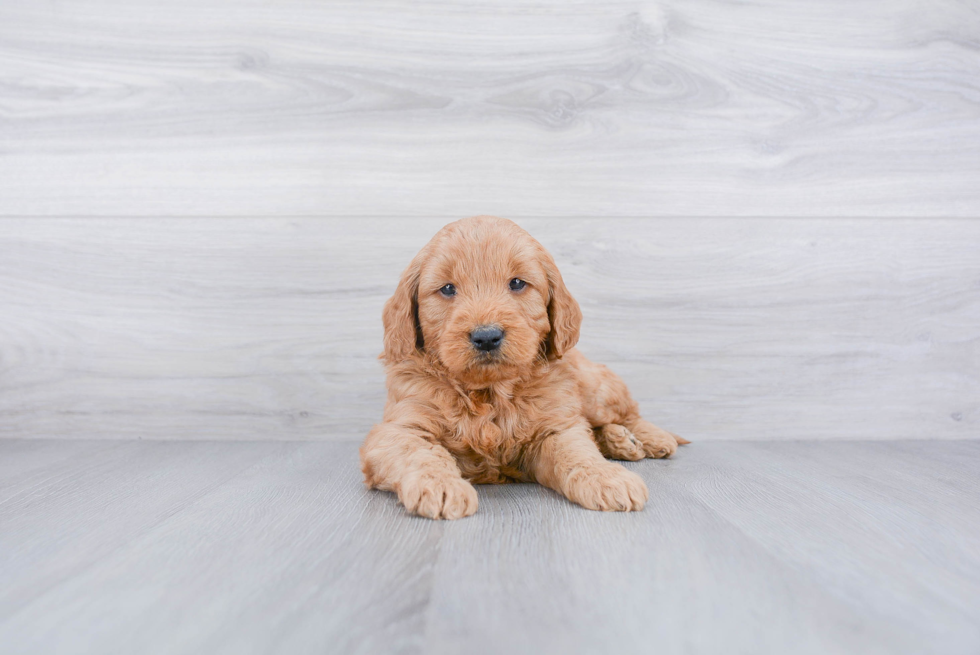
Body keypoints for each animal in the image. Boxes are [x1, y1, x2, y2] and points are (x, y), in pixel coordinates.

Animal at [356, 218, 684, 520]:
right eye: (447, 289)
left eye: (516, 283)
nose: (486, 336)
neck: (489, 393)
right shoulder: (399, 428)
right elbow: (419, 453)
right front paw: (441, 486)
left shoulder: (556, 426)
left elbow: (577, 451)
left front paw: (606, 477)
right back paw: (622, 441)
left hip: (596, 391)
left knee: (626, 413)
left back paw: (650, 438)